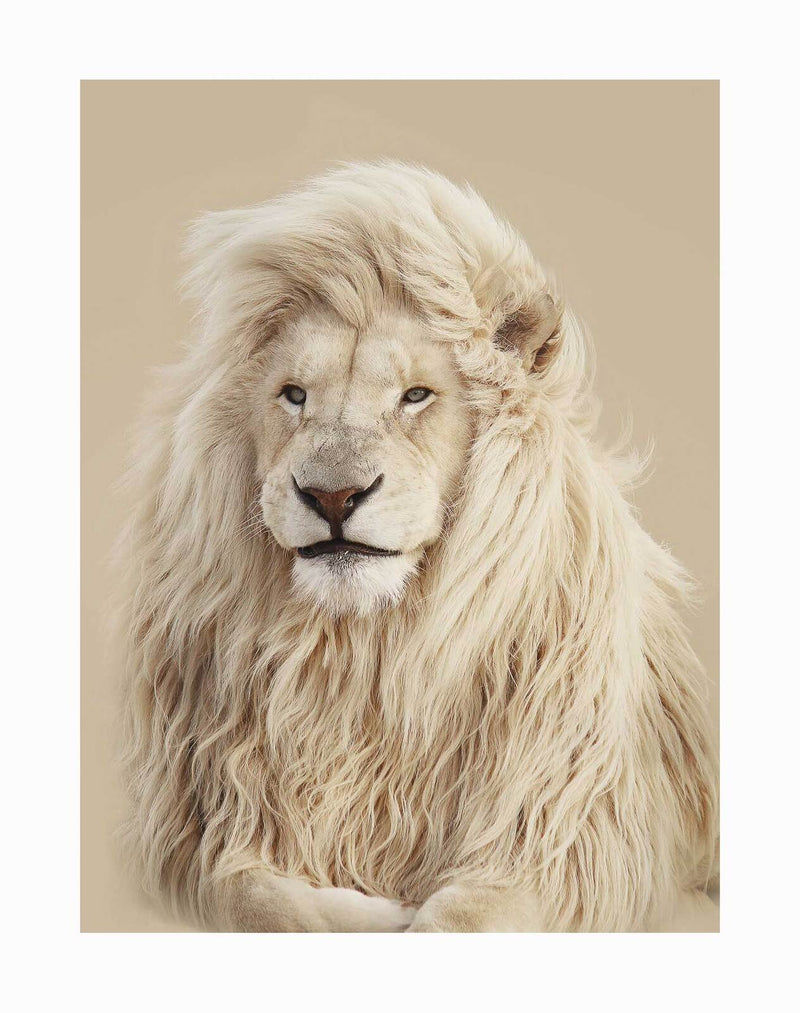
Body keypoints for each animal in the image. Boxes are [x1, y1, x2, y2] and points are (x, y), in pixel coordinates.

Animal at [118, 161, 719, 932]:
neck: (365, 657)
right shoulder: (200, 826)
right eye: (294, 394)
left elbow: (456, 921)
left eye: (415, 395)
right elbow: (257, 899)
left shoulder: (567, 843)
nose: (332, 496)